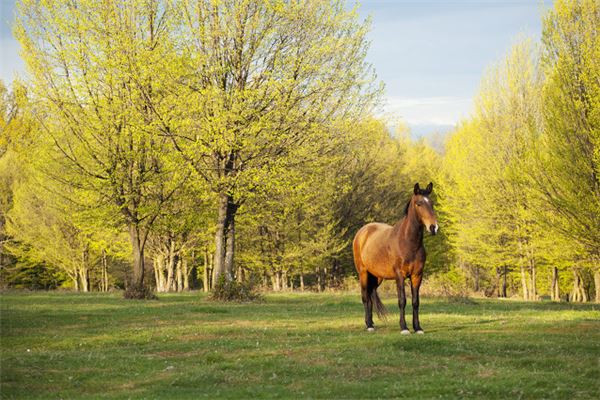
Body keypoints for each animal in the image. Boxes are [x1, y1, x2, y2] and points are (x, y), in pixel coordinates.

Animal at [354, 183, 438, 332]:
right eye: (419, 203)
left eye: (432, 203)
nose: (434, 227)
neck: (408, 242)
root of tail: (362, 232)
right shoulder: (400, 276)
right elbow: (402, 300)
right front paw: (404, 327)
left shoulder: (417, 275)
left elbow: (415, 301)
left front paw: (417, 328)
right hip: (363, 273)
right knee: (365, 297)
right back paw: (369, 325)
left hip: (376, 277)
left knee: (370, 296)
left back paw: (371, 322)